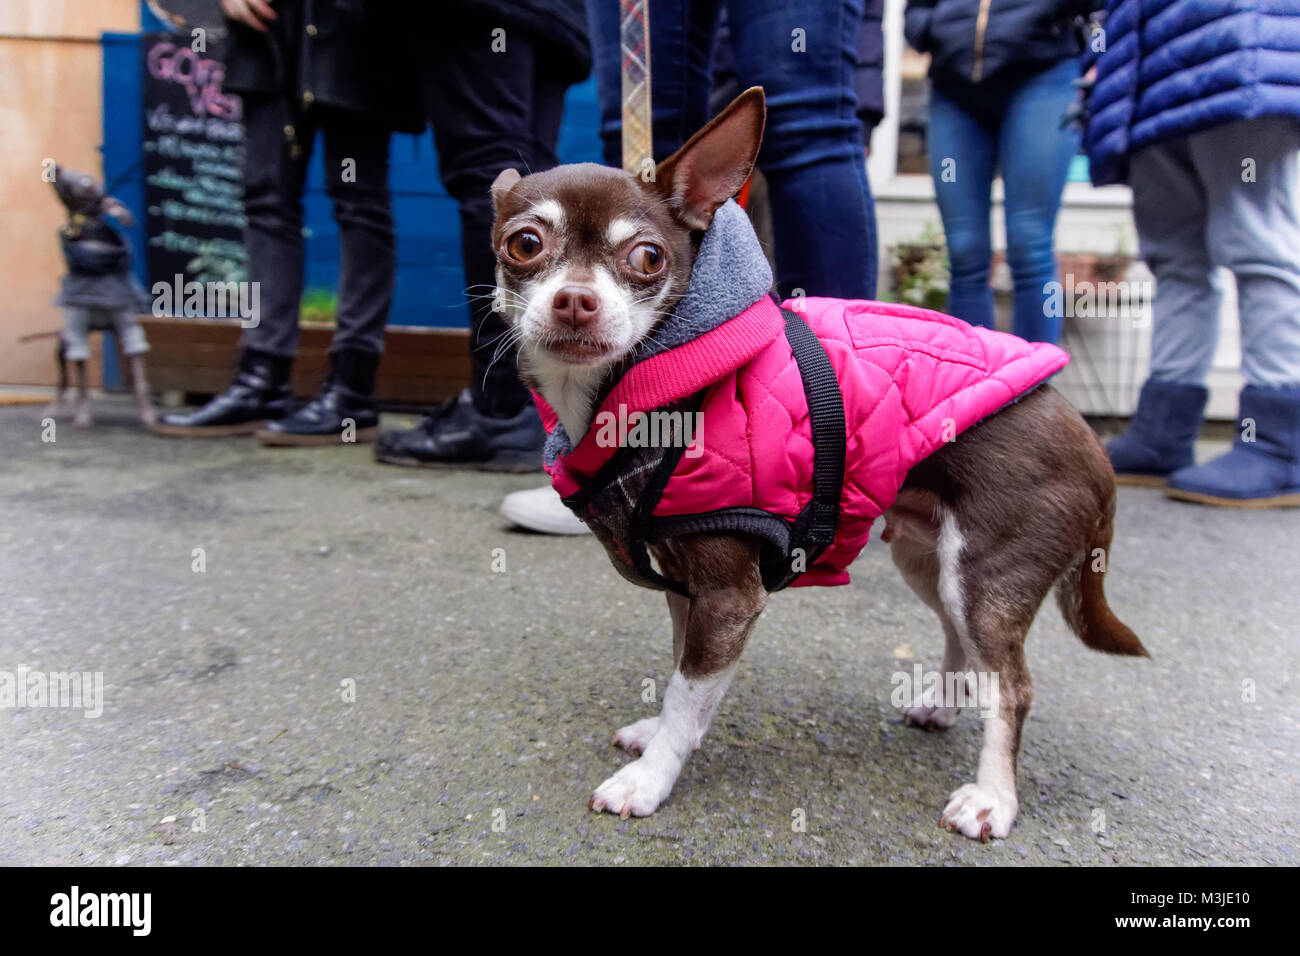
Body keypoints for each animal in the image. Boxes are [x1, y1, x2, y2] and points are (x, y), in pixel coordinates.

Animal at [488, 87, 1149, 837]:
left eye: (648, 258)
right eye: (524, 244)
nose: (575, 299)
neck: (657, 383)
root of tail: (1091, 444)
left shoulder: (728, 595)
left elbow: (689, 695)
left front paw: (650, 777)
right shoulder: (687, 587)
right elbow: (679, 672)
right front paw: (657, 733)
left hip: (985, 573)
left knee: (1012, 685)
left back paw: (994, 799)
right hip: (928, 560)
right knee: (965, 644)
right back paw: (942, 706)